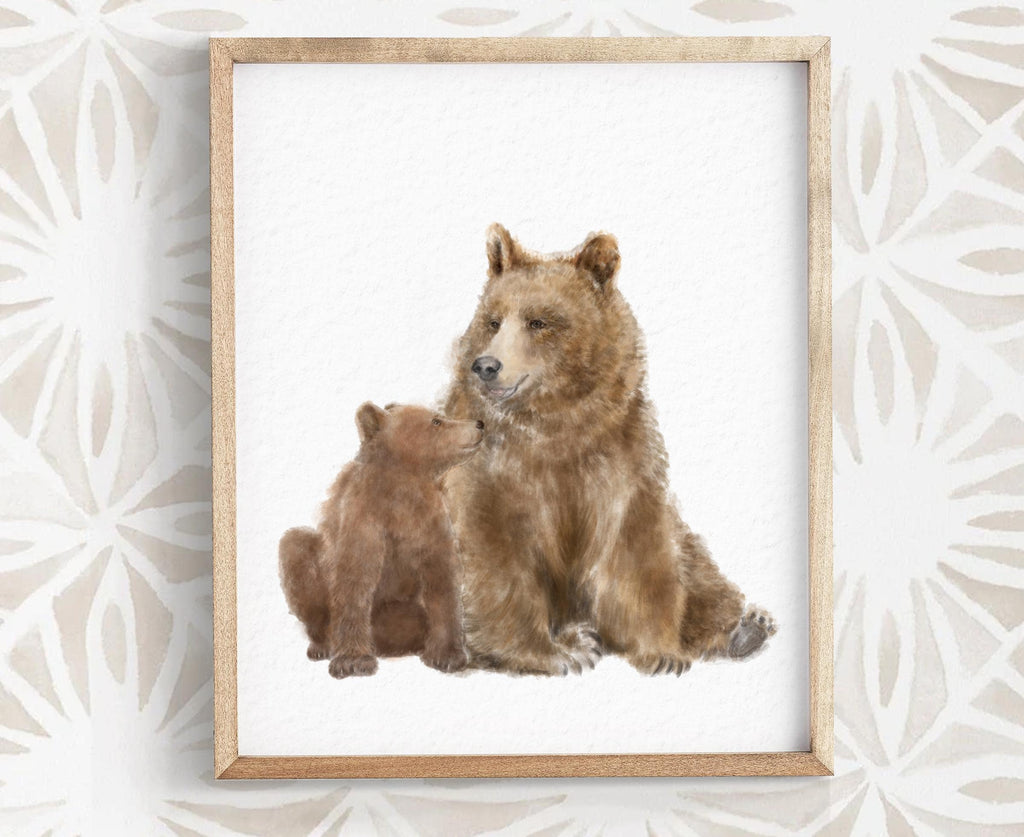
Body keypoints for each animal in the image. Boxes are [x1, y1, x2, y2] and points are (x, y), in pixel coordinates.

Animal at [279, 402, 484, 678]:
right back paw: (322, 645)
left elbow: (442, 580)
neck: (403, 485)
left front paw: (448, 655)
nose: (479, 423)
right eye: (436, 421)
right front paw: (353, 661)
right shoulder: (365, 516)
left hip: (398, 611)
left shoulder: (429, 520)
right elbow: (355, 578)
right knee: (295, 547)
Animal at [442, 224, 776, 676]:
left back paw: (745, 628)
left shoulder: (621, 455)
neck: (556, 423)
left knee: (696, 562)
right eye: (493, 320)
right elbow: (496, 553)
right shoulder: (490, 470)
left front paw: (662, 653)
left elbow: (636, 546)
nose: (487, 366)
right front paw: (554, 652)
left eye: (538, 321)